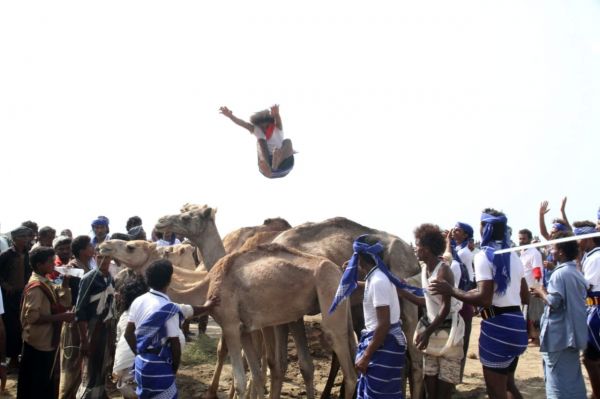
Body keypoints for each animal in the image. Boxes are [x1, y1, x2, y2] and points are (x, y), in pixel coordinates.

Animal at [270, 219, 424, 399]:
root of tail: (414, 258)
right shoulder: (279, 316)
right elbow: (279, 365)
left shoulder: (294, 312)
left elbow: (305, 365)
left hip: (404, 282)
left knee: (416, 361)